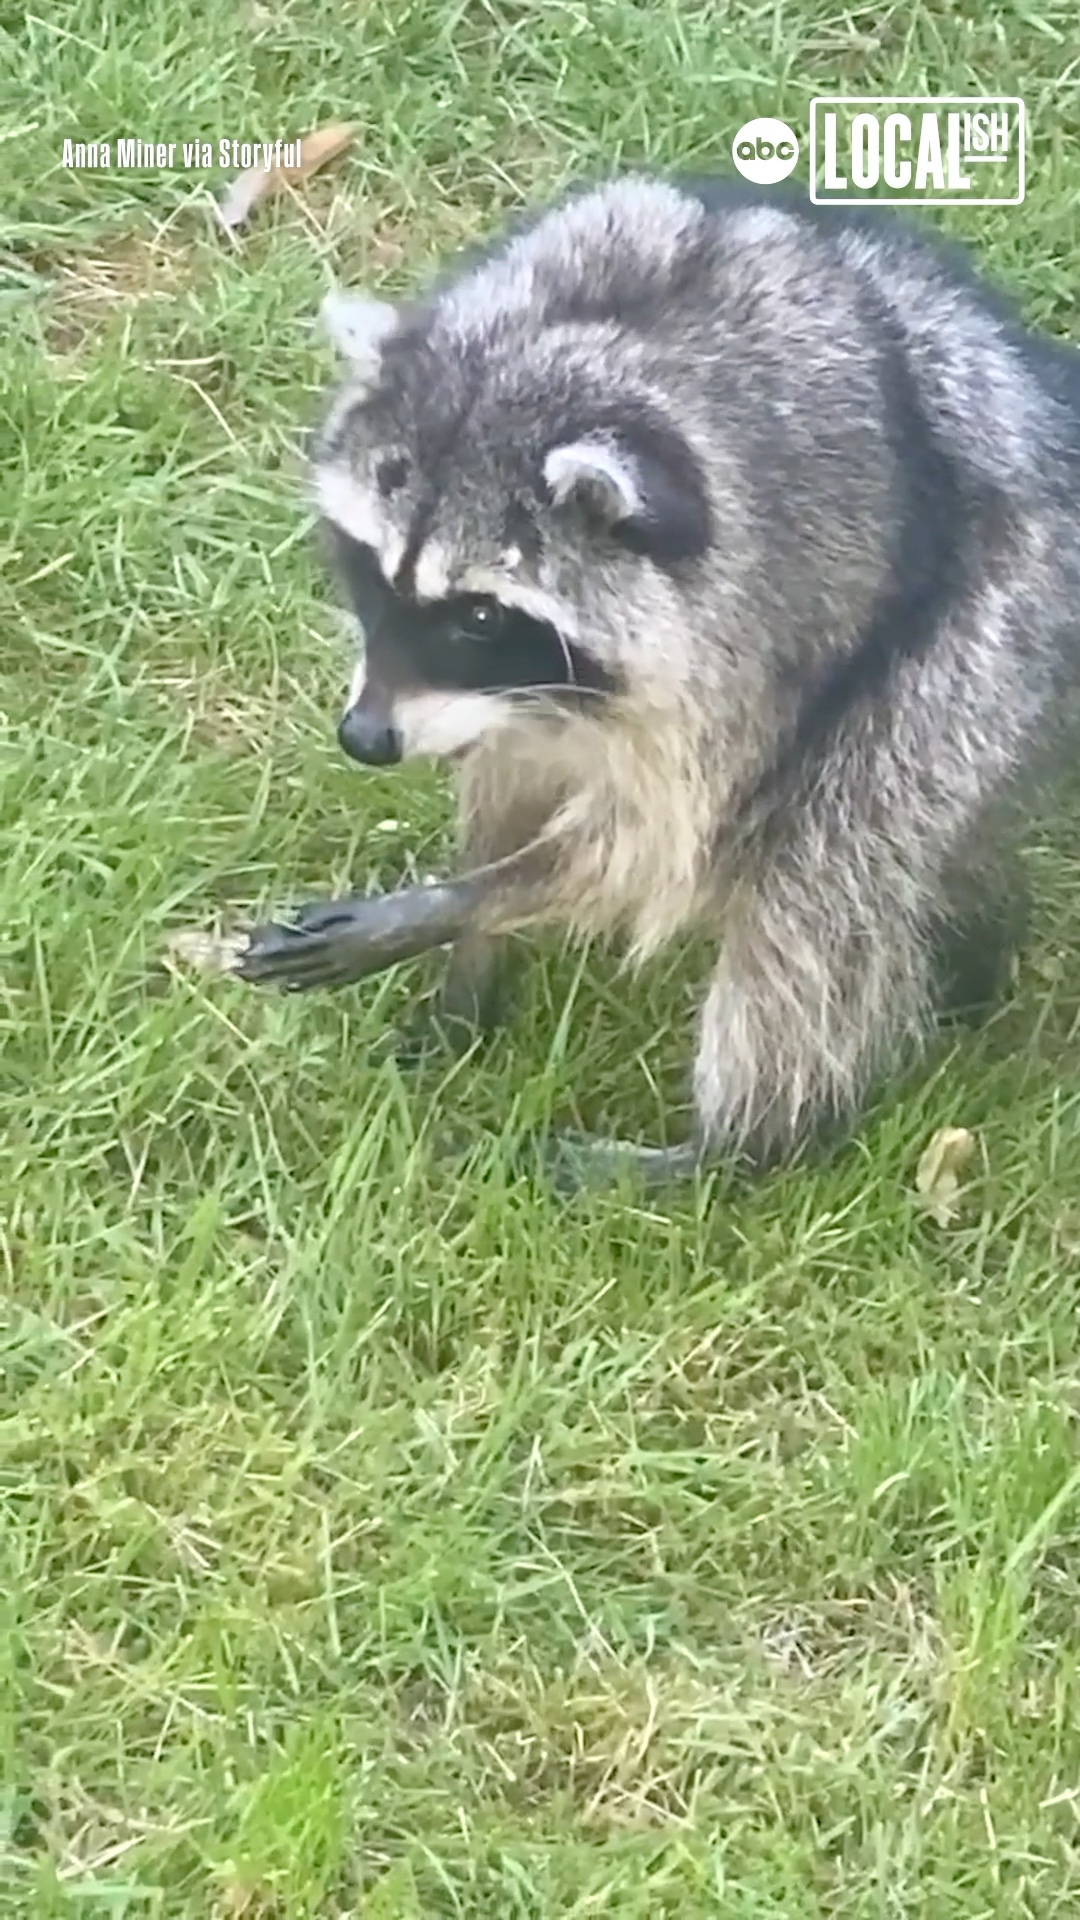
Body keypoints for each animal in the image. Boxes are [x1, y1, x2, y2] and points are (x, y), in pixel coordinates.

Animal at [242, 173, 1080, 1187]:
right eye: (370, 570)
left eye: (478, 617)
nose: (365, 740)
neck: (576, 347)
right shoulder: (518, 695)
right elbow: (507, 772)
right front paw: (473, 948)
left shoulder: (748, 637)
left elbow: (660, 847)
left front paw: (454, 906)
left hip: (977, 631)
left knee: (826, 882)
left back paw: (736, 1146)